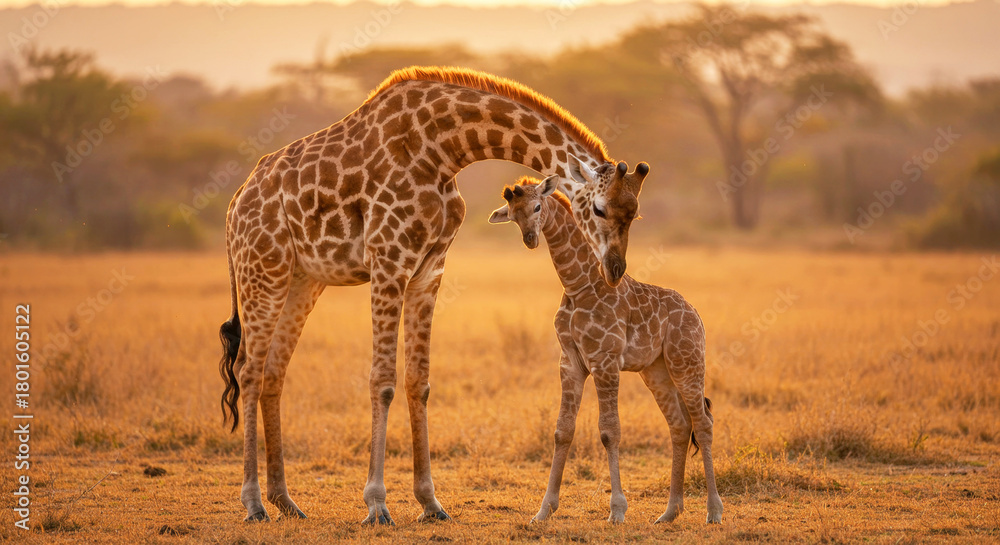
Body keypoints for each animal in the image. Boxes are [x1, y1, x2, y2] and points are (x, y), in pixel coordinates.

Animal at [217, 67, 652, 524]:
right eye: (600, 209)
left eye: (635, 214)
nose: (615, 271)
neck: (443, 149)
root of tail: (234, 207)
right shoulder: (388, 261)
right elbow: (382, 381)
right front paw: (377, 504)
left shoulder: (429, 270)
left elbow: (418, 381)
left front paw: (430, 501)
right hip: (262, 269)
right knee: (247, 370)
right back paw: (253, 503)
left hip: (302, 280)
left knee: (273, 372)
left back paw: (285, 501)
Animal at [488, 176, 722, 525]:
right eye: (512, 214)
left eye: (537, 206)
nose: (530, 239)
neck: (577, 286)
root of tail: (696, 314)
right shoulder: (570, 362)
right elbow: (562, 431)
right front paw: (544, 510)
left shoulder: (605, 360)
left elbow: (609, 431)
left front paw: (617, 510)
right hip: (656, 371)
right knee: (680, 426)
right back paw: (669, 512)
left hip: (688, 362)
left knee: (704, 423)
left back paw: (714, 511)